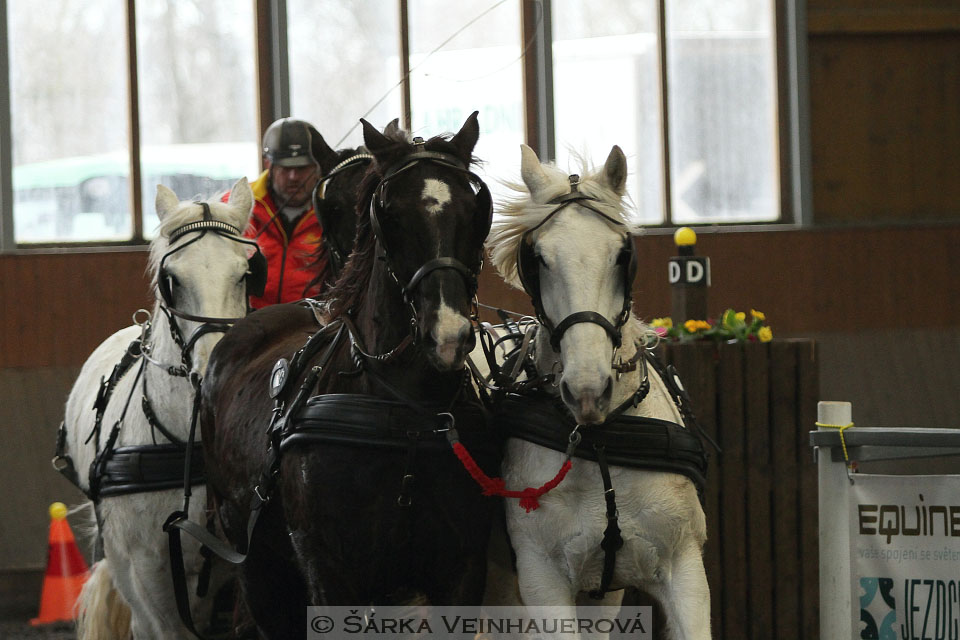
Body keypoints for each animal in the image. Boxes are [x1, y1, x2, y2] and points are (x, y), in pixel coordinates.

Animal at [203, 112, 502, 636]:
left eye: (475, 209)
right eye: (390, 213)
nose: (447, 334)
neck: (406, 415)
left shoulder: (462, 568)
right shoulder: (328, 570)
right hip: (256, 561)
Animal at [484, 146, 708, 640]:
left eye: (622, 254)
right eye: (538, 258)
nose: (587, 391)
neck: (601, 440)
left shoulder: (684, 565)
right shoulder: (542, 581)